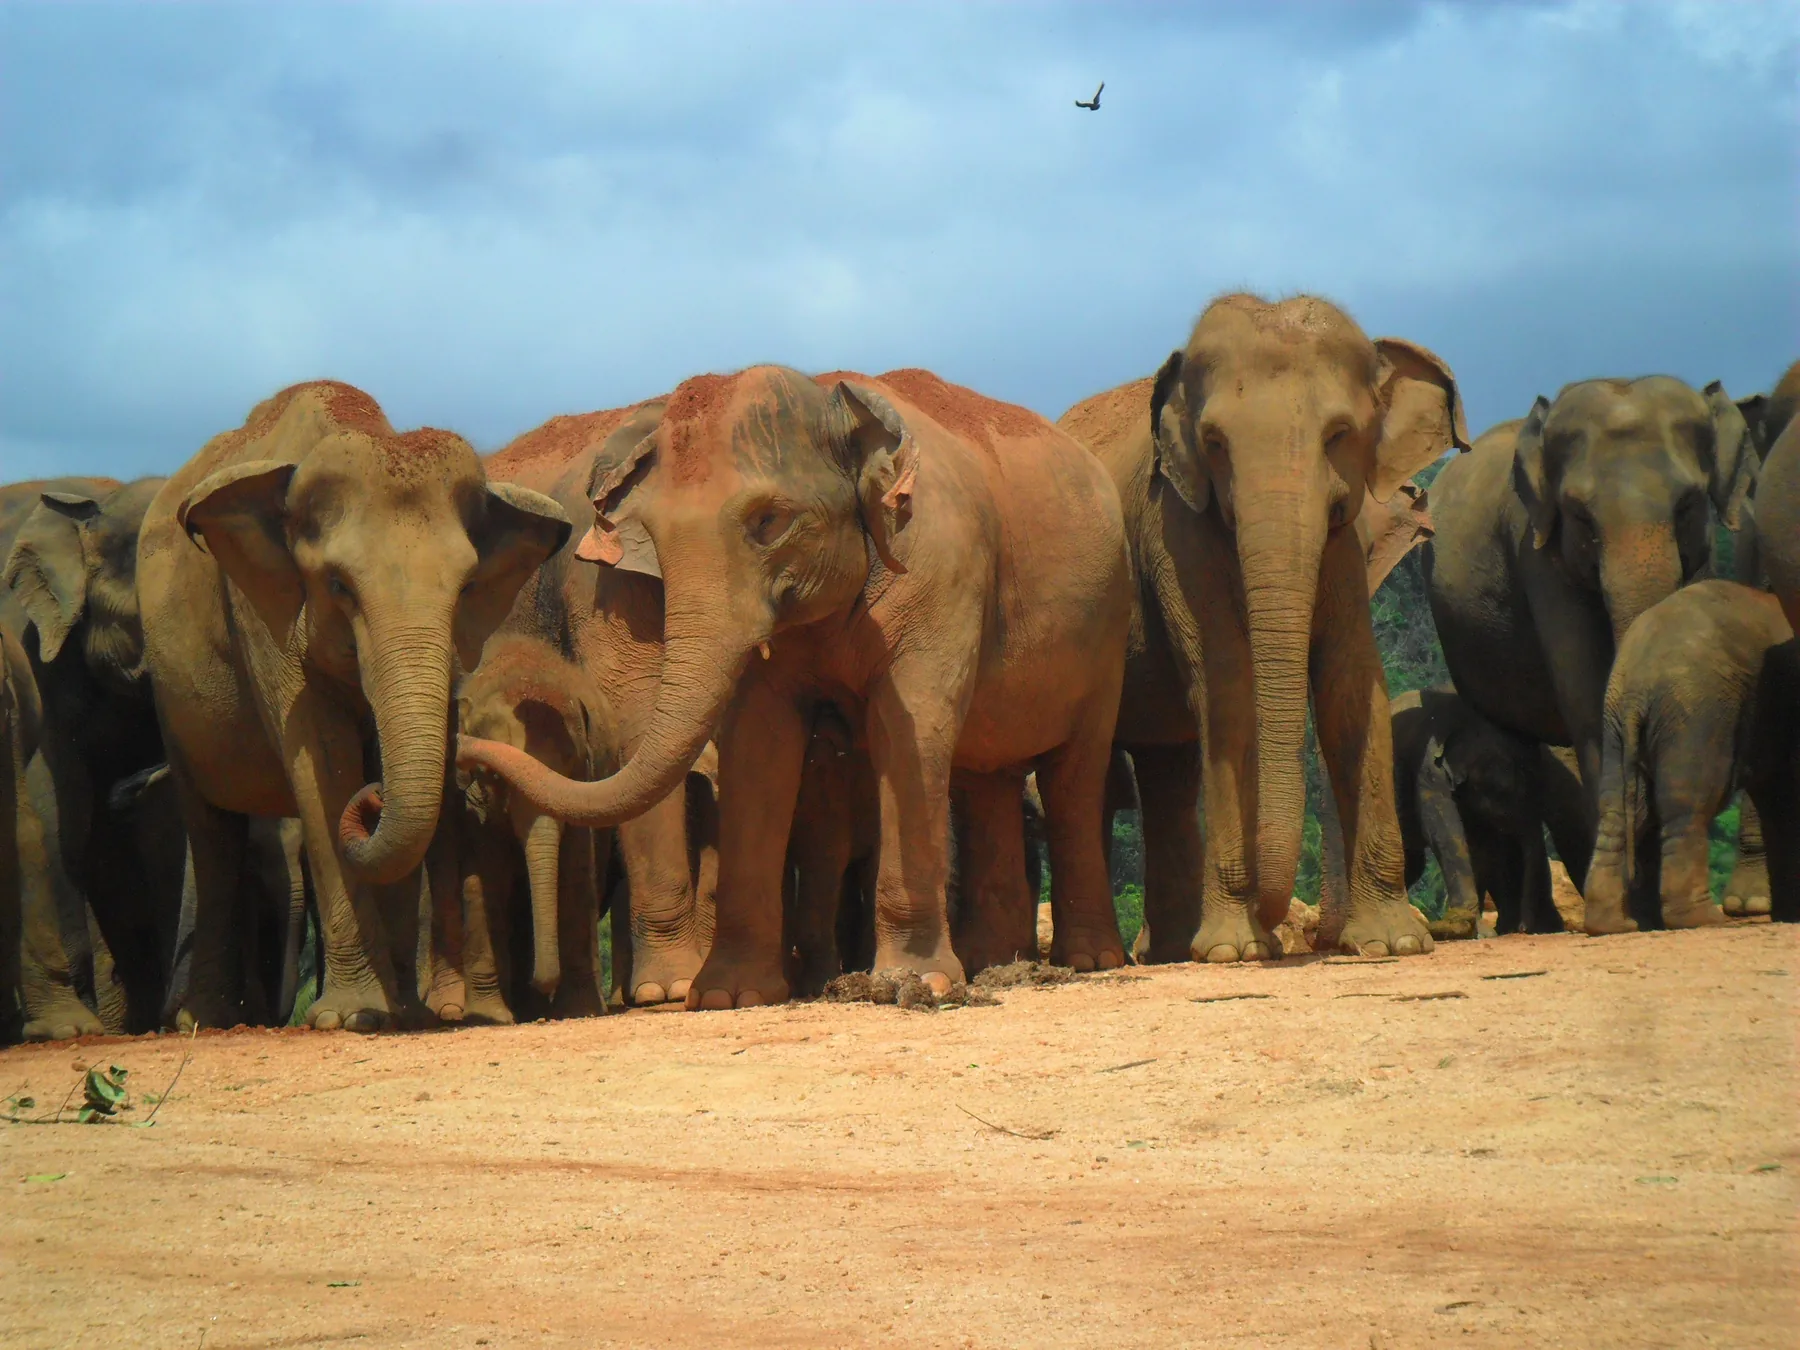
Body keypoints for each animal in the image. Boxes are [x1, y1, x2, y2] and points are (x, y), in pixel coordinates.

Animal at [136, 381, 570, 1032]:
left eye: (467, 589)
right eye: (338, 586)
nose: (377, 794)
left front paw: (404, 1015)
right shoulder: (263, 613)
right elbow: (321, 765)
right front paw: (349, 1016)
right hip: (171, 700)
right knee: (211, 829)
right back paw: (202, 1021)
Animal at [435, 630, 616, 1024]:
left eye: (572, 765)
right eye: (493, 776)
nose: (542, 985)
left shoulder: (586, 781)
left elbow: (576, 872)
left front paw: (578, 1010)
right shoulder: (473, 804)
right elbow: (485, 877)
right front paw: (490, 1017)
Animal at [1058, 294, 1466, 964]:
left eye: (1339, 436)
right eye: (1214, 443)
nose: (1278, 925)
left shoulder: (1344, 541)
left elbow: (1353, 686)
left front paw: (1394, 943)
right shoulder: (1175, 530)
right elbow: (1226, 683)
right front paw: (1236, 951)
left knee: (1168, 767)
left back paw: (1174, 950)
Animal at [1390, 687, 1589, 937]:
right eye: (1506, 790)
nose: (1524, 928)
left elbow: (1482, 846)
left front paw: (1478, 930)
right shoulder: (1429, 772)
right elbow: (1446, 832)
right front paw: (1465, 928)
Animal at [1586, 580, 1798, 932]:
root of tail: (1637, 687)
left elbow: (1778, 803)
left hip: (1614, 720)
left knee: (1617, 810)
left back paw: (1612, 924)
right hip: (1695, 713)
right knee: (1689, 806)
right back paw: (1702, 919)